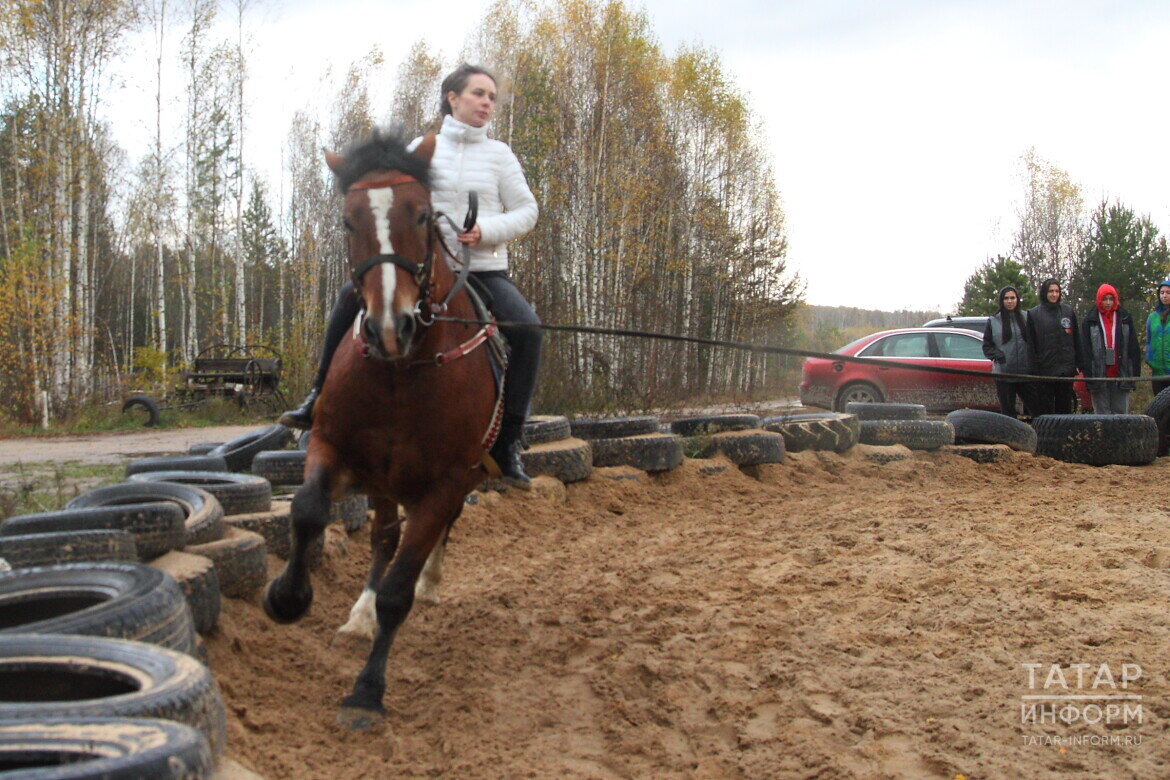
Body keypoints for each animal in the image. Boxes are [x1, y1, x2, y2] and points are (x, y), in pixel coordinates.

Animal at [263, 129, 500, 734]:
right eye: (348, 222)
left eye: (421, 215)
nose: (391, 327)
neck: (399, 373)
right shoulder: (331, 446)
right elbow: (307, 510)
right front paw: (287, 599)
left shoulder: (444, 484)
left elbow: (400, 590)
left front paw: (367, 693)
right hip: (385, 482)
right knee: (383, 538)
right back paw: (359, 615)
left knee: (433, 536)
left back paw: (429, 583)